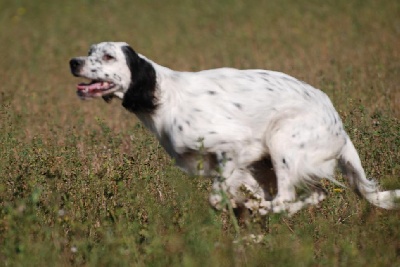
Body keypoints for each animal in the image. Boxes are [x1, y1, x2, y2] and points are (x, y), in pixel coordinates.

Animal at [70, 42, 398, 218]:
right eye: (89, 51)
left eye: (109, 56)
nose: (73, 61)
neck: (164, 98)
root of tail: (339, 127)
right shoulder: (233, 165)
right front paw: (246, 204)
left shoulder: (235, 147)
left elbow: (217, 197)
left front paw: (243, 206)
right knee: (315, 194)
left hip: (282, 140)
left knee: (285, 197)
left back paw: (264, 209)